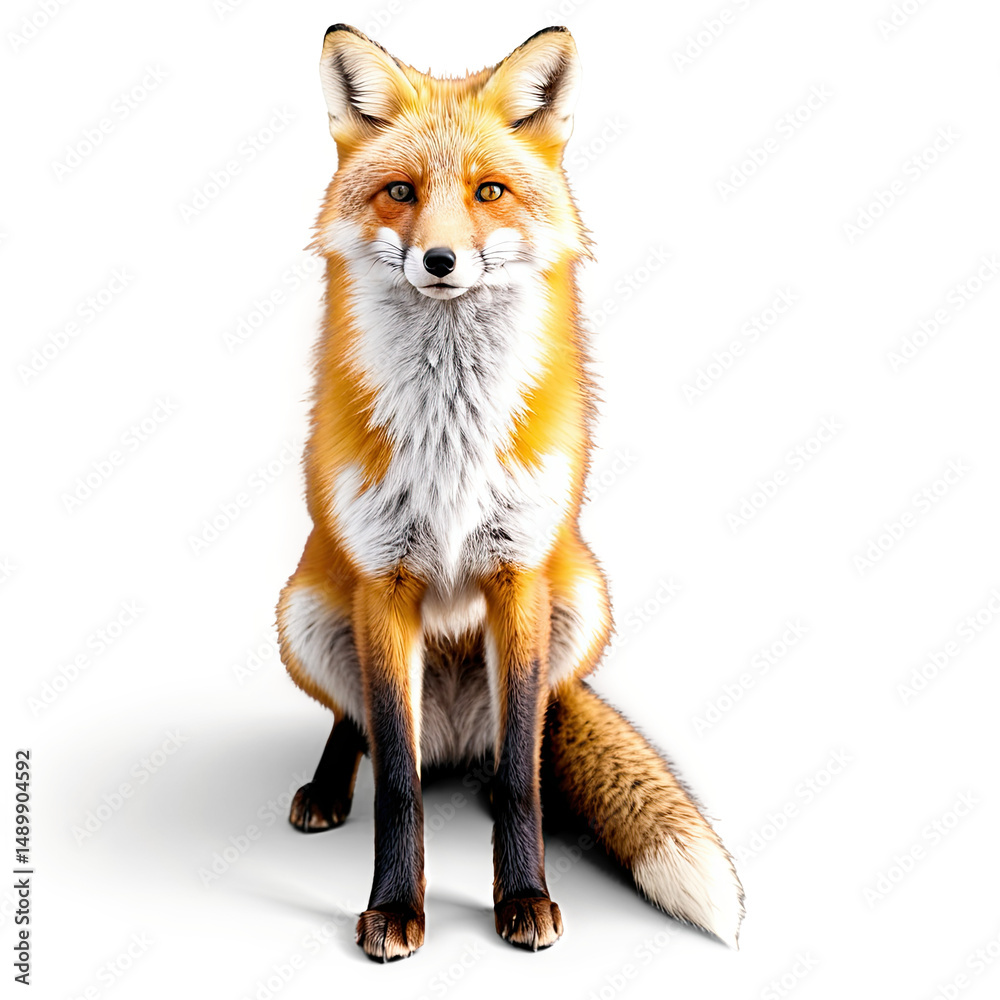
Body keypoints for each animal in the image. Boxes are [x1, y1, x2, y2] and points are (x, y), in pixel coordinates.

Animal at [276, 23, 745, 962]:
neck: (450, 436)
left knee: (512, 750)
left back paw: (492, 780)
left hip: (583, 600)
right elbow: (397, 783)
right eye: (400, 193)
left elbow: (527, 769)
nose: (440, 259)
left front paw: (524, 895)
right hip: (306, 612)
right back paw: (331, 787)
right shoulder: (384, 582)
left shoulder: (519, 572)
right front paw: (395, 908)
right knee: (368, 730)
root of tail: (455, 735)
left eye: (488, 191)